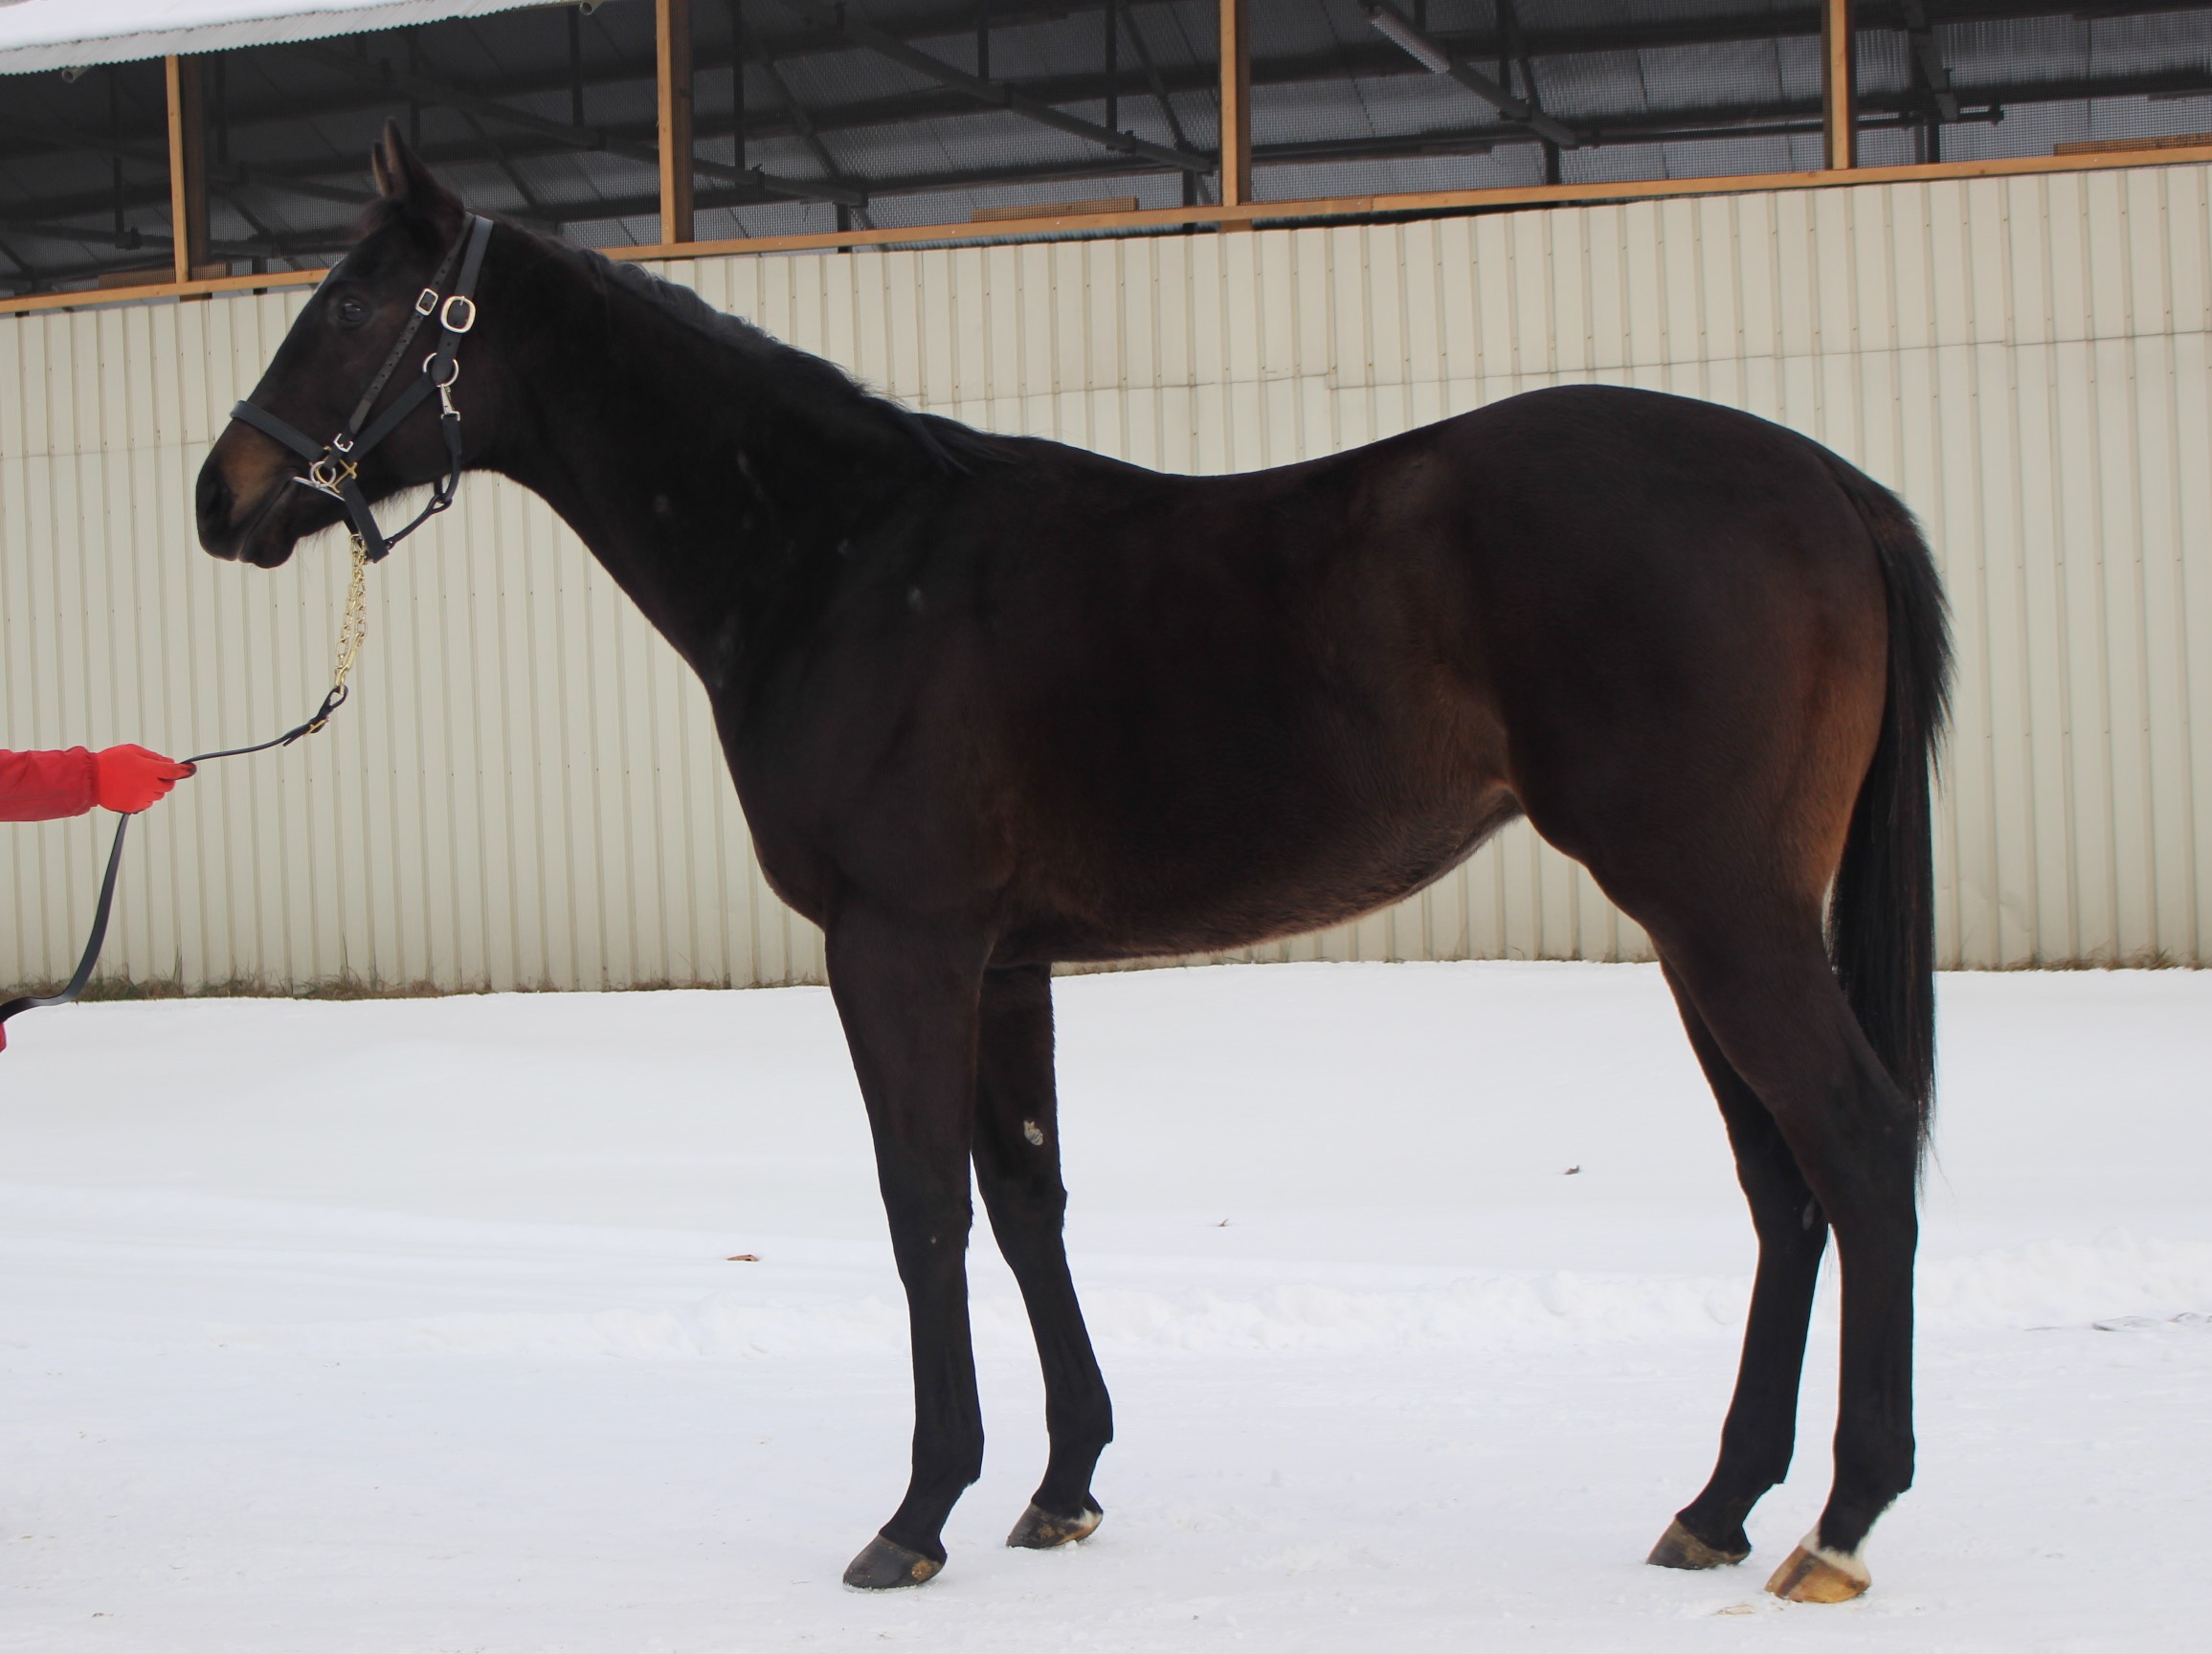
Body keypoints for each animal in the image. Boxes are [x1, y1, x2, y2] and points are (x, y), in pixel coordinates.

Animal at [196, 126, 1951, 1604]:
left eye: (350, 302)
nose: (223, 496)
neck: (840, 559)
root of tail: (1825, 481)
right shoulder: (1006, 958)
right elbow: (1026, 1194)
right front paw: (1060, 1484)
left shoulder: (895, 945)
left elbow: (921, 1205)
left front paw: (916, 1513)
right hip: (1703, 922)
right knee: (1781, 1181)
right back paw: (1716, 1505)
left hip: (1716, 909)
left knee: (1856, 1148)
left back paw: (1838, 1521)